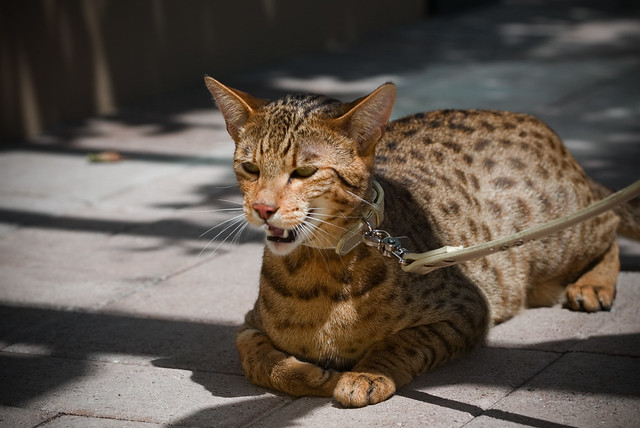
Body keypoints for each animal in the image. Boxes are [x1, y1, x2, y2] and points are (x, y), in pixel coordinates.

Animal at [202, 77, 636, 408]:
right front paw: (307, 374)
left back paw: (593, 284)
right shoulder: (248, 324)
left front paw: (367, 373)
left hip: (557, 234)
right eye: (250, 168)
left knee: (609, 220)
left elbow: (405, 341)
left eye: (305, 171)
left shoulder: (467, 308)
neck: (321, 267)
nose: (262, 208)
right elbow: (256, 358)